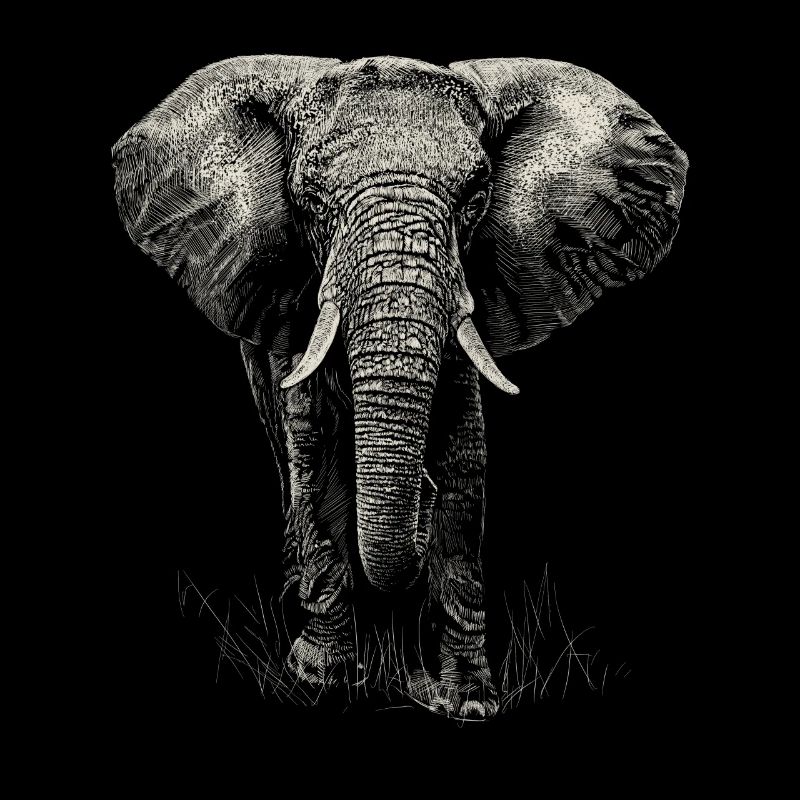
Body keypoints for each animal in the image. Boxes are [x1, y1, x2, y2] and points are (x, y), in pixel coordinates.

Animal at [113, 55, 688, 719]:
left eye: (476, 196)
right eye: (309, 200)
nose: (420, 500)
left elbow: (465, 457)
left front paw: (465, 701)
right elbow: (313, 443)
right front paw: (323, 681)